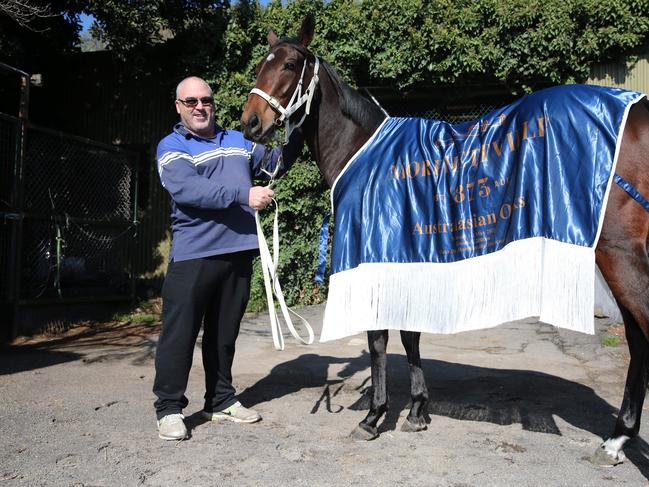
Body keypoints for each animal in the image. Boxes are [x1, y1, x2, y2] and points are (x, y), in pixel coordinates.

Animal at [240, 13, 648, 468]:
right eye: (260, 63)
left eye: (290, 64)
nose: (249, 122)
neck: (363, 152)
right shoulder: (406, 257)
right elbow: (409, 335)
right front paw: (417, 410)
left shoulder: (375, 256)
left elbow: (379, 337)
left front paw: (374, 416)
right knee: (637, 339)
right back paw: (617, 440)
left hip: (620, 254)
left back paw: (617, 440)